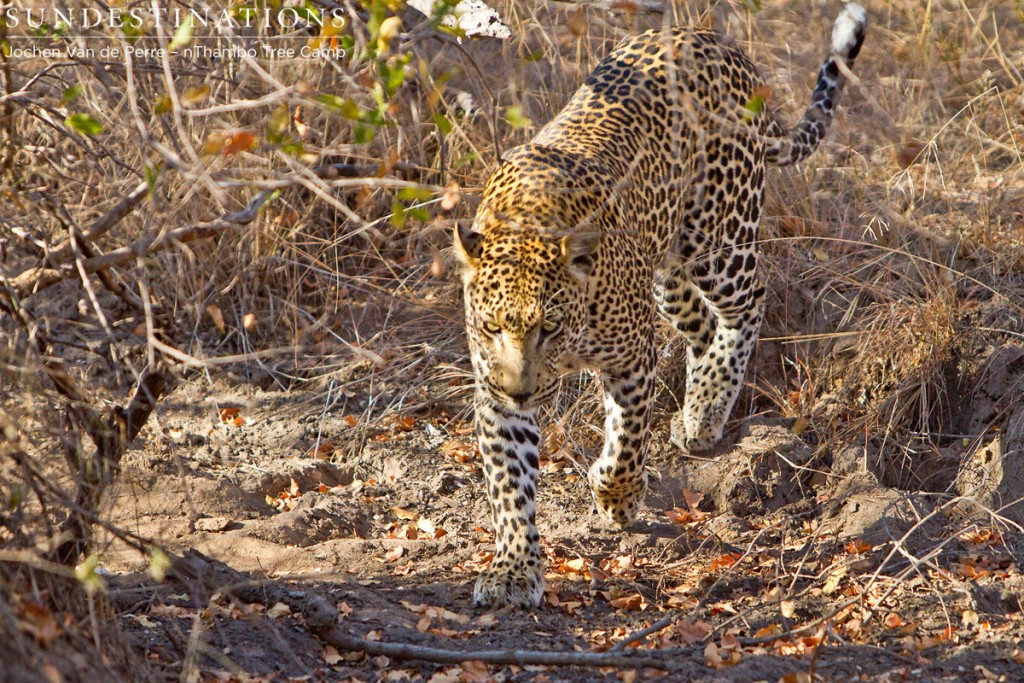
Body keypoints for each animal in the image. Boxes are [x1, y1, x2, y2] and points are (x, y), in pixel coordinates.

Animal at [454, 1, 864, 610]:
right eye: (490, 327)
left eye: (549, 328)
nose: (523, 392)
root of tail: (715, 41)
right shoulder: (495, 391)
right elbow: (510, 486)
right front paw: (513, 569)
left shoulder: (629, 361)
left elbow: (626, 442)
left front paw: (615, 496)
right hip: (666, 276)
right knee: (700, 326)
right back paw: (699, 402)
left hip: (717, 237)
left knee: (747, 304)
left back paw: (706, 410)